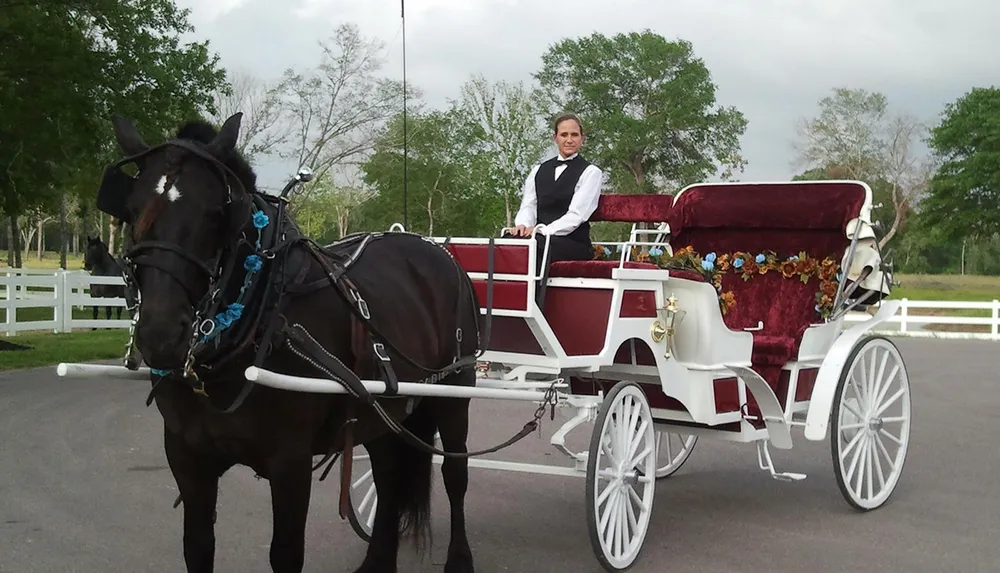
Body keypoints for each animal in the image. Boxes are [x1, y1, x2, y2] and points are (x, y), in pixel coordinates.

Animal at [95, 113, 498, 572]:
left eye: (217, 213)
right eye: (130, 211)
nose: (161, 335)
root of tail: (436, 249)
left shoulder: (290, 462)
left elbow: (285, 554)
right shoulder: (186, 457)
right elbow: (197, 548)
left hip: (455, 390)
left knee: (455, 475)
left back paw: (459, 559)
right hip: (383, 408)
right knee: (387, 475)